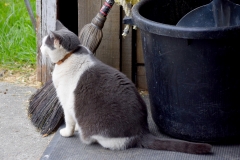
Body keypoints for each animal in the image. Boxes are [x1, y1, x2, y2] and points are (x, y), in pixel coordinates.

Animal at [40, 20, 213, 154]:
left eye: (44, 43)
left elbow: (69, 121)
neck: (69, 55)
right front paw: (75, 128)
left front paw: (67, 132)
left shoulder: (66, 102)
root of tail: (141, 131)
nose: (39, 48)